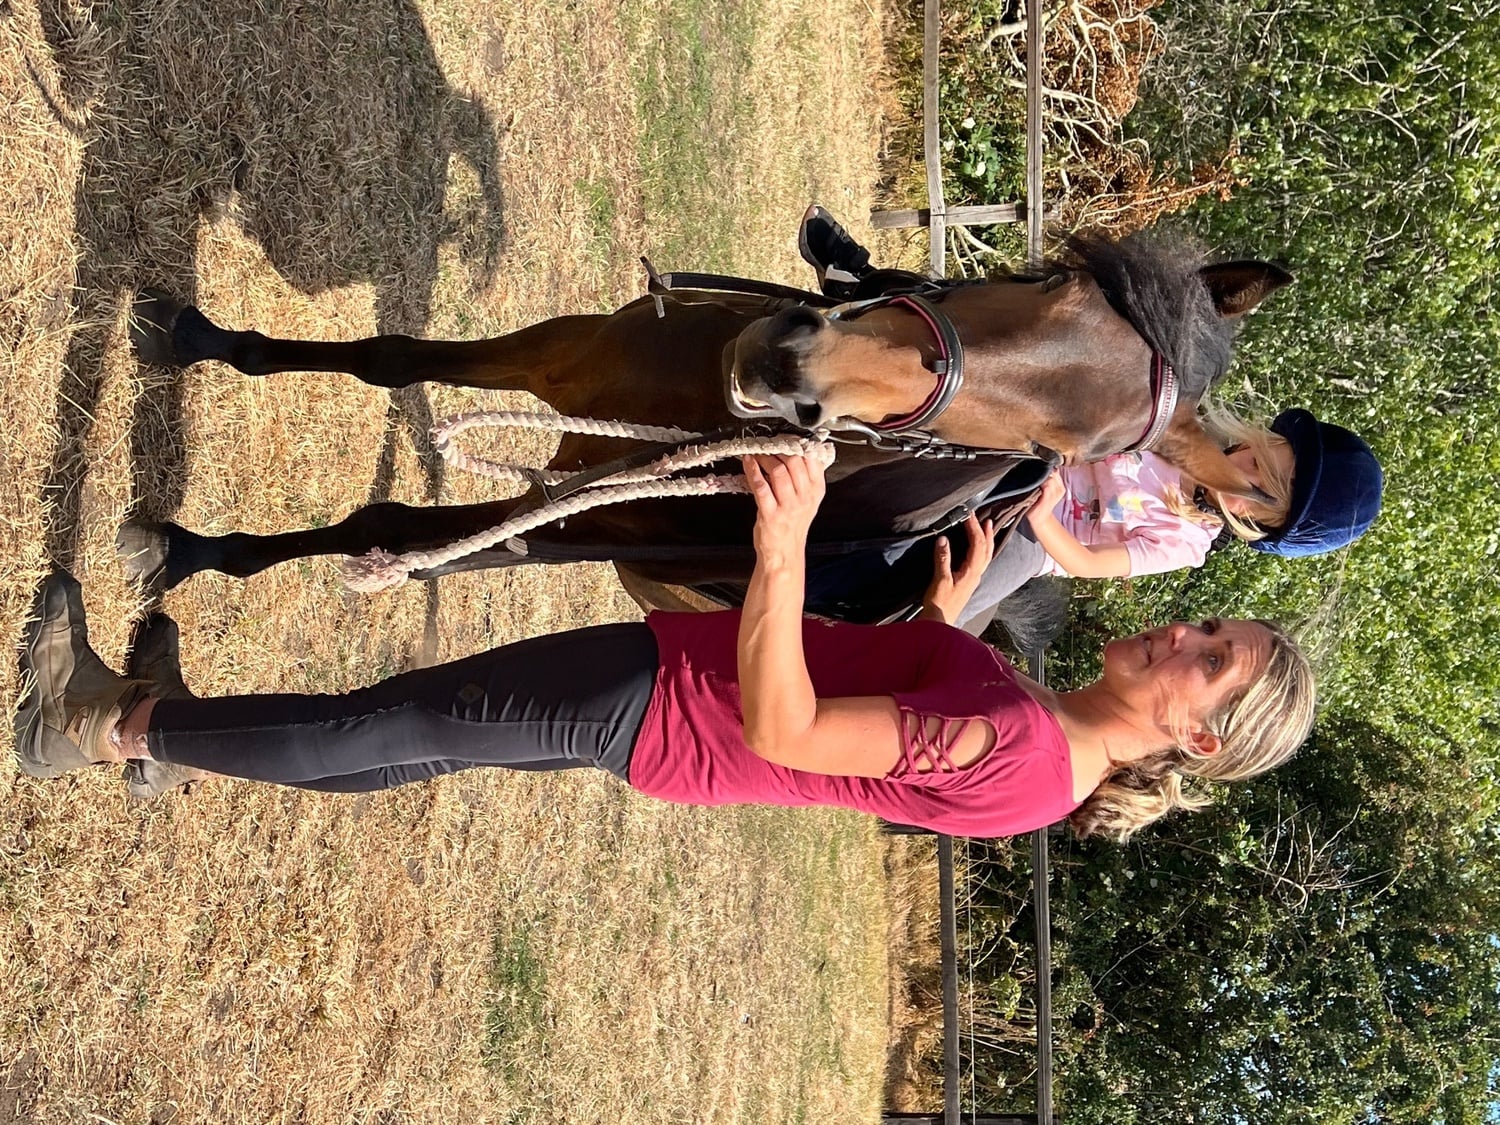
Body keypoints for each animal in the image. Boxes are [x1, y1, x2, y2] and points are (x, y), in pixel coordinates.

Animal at [119, 233, 1290, 620]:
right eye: (1052, 281)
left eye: (1064, 460)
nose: (789, 365)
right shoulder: (568, 354)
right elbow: (390, 359)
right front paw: (195, 335)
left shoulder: (579, 523)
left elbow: (395, 530)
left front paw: (183, 550)